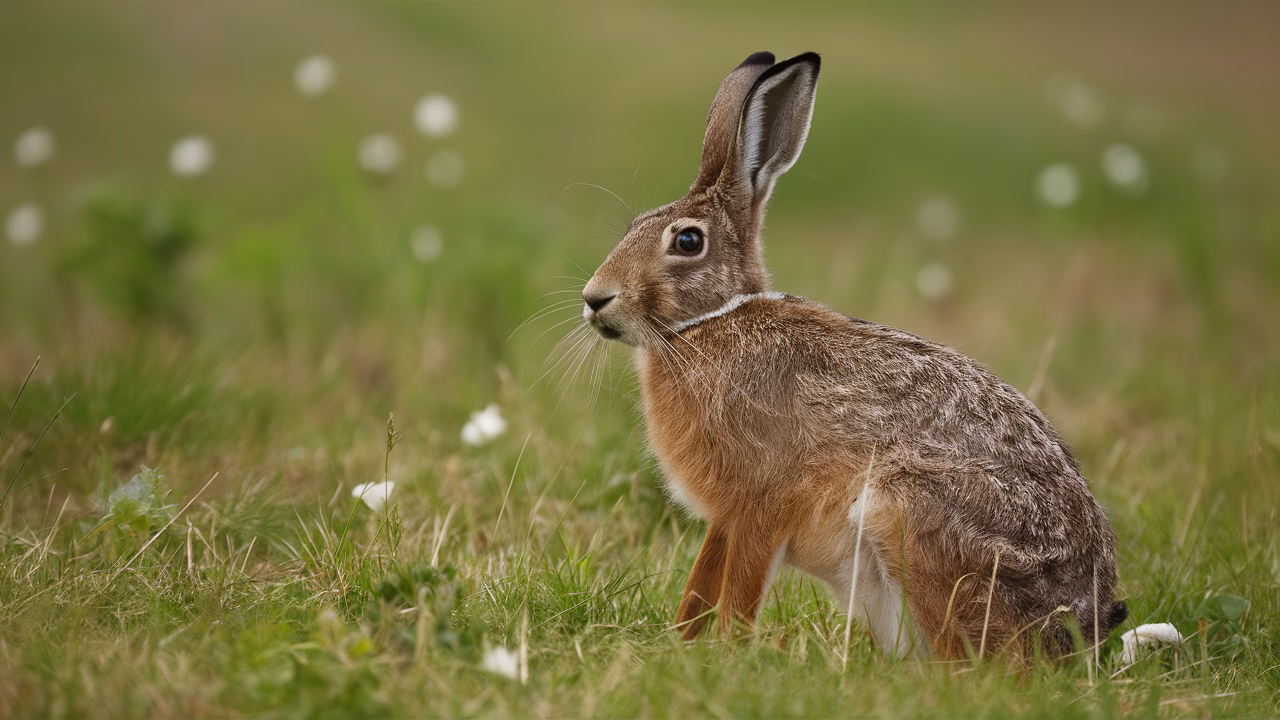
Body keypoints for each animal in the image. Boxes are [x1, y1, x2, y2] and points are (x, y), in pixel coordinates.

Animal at [580, 50, 1125, 658]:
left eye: (687, 242)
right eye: (631, 227)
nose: (595, 298)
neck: (712, 321)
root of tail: (1078, 625)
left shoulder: (761, 504)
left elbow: (738, 591)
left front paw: (727, 653)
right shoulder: (726, 518)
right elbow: (700, 584)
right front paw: (683, 642)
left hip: (911, 515)